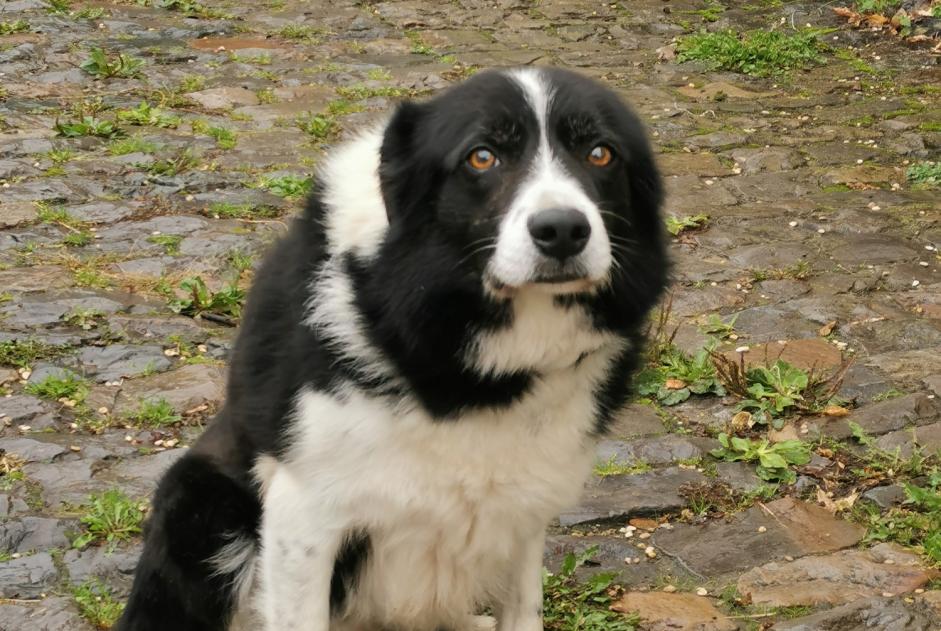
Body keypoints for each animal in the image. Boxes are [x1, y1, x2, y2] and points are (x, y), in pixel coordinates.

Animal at [117, 65, 668, 631]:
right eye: (482, 156)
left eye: (600, 153)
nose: (562, 230)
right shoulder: (303, 511)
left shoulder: (525, 507)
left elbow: (523, 609)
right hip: (201, 500)